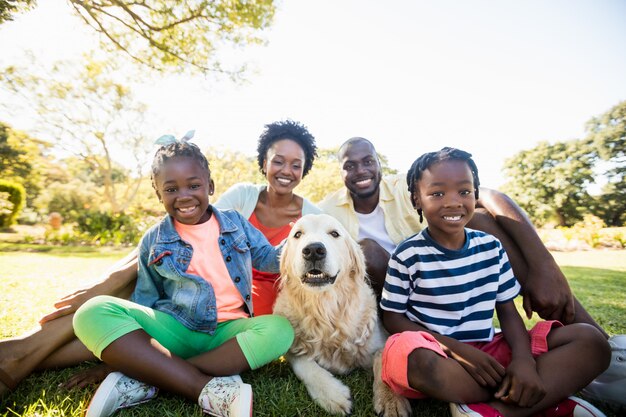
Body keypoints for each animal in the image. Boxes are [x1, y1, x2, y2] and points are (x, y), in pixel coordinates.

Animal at [272, 214, 410, 416]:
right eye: (297, 234)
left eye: (334, 233)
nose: (313, 250)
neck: (325, 310)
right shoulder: (294, 346)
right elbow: (304, 364)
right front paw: (332, 395)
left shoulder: (380, 339)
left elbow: (383, 356)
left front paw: (391, 400)